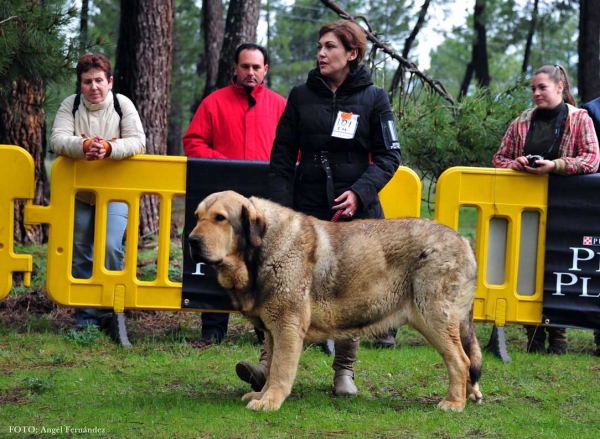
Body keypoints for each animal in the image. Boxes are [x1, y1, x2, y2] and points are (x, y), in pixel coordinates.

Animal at [188, 191, 482, 410]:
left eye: (220, 218)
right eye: (197, 217)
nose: (192, 240)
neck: (261, 251)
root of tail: (464, 242)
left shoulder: (286, 327)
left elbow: (280, 369)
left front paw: (270, 401)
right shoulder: (272, 330)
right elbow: (270, 366)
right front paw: (262, 395)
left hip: (433, 318)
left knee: (460, 360)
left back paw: (453, 403)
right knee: (468, 359)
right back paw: (470, 395)